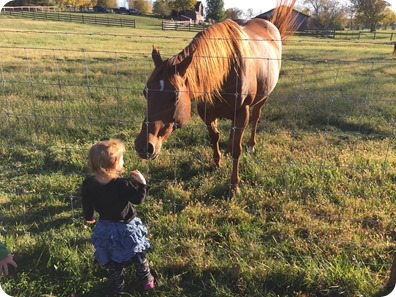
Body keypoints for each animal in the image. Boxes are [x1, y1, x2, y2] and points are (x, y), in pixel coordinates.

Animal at [135, 0, 296, 194]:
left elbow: (236, 149)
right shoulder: (207, 112)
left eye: (174, 96)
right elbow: (215, 138)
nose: (144, 146)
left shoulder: (242, 112)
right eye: (145, 92)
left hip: (262, 99)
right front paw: (216, 163)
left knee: (255, 119)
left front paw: (234, 185)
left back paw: (251, 145)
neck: (227, 69)